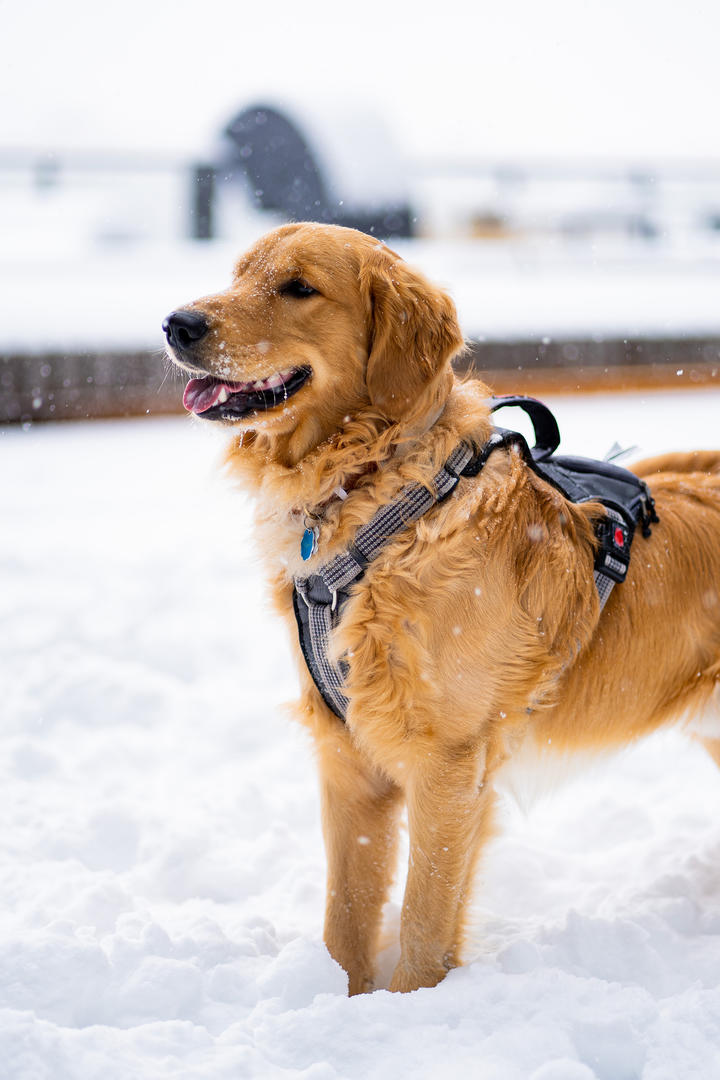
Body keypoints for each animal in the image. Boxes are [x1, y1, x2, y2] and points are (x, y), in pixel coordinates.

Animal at [162, 219, 720, 993]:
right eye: (238, 274)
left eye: (298, 287)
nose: (177, 323)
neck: (381, 503)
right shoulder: (347, 757)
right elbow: (346, 915)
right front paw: (340, 997)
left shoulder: (450, 763)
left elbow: (425, 920)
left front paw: (411, 1002)